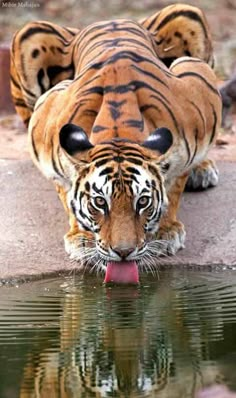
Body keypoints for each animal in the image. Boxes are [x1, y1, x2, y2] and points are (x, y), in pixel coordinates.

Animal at [10, 3, 221, 282]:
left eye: (143, 201)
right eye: (100, 202)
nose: (123, 252)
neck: (119, 131)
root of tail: (111, 20)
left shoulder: (198, 89)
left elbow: (176, 183)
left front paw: (165, 233)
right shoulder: (45, 123)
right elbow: (65, 189)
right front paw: (82, 239)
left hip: (187, 16)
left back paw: (203, 170)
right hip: (29, 37)